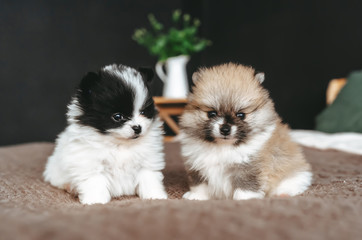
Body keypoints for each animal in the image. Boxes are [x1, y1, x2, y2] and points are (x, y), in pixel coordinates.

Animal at [43, 63, 167, 204]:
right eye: (117, 116)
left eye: (143, 112)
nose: (138, 128)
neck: (120, 143)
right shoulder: (91, 163)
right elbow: (95, 182)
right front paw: (95, 201)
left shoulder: (147, 161)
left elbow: (149, 178)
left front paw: (155, 196)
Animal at [180, 62, 312, 200]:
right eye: (212, 114)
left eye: (241, 115)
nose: (225, 129)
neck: (223, 146)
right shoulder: (196, 164)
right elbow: (200, 184)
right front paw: (196, 196)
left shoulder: (248, 166)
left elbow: (245, 186)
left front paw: (244, 199)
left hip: (294, 173)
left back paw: (282, 193)